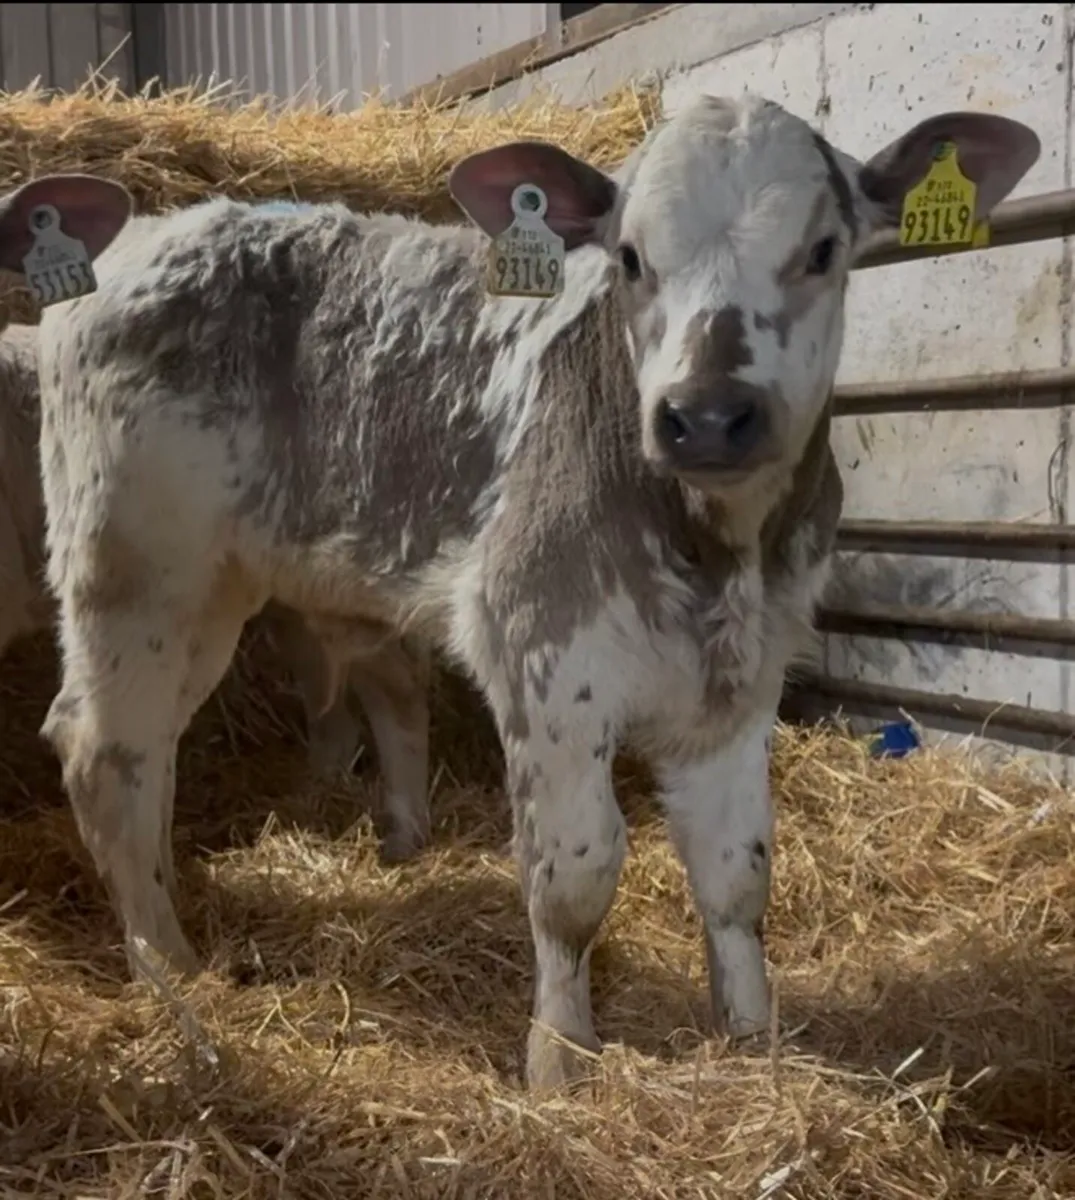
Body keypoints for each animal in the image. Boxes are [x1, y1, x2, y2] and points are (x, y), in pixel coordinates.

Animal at [30, 95, 1039, 1090]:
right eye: (629, 257)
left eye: (823, 249)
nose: (706, 415)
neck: (714, 552)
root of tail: (155, 234)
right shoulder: (545, 654)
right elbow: (573, 879)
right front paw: (558, 1061)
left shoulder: (743, 681)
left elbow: (737, 873)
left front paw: (754, 1044)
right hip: (140, 571)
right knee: (103, 751)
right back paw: (166, 967)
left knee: (148, 756)